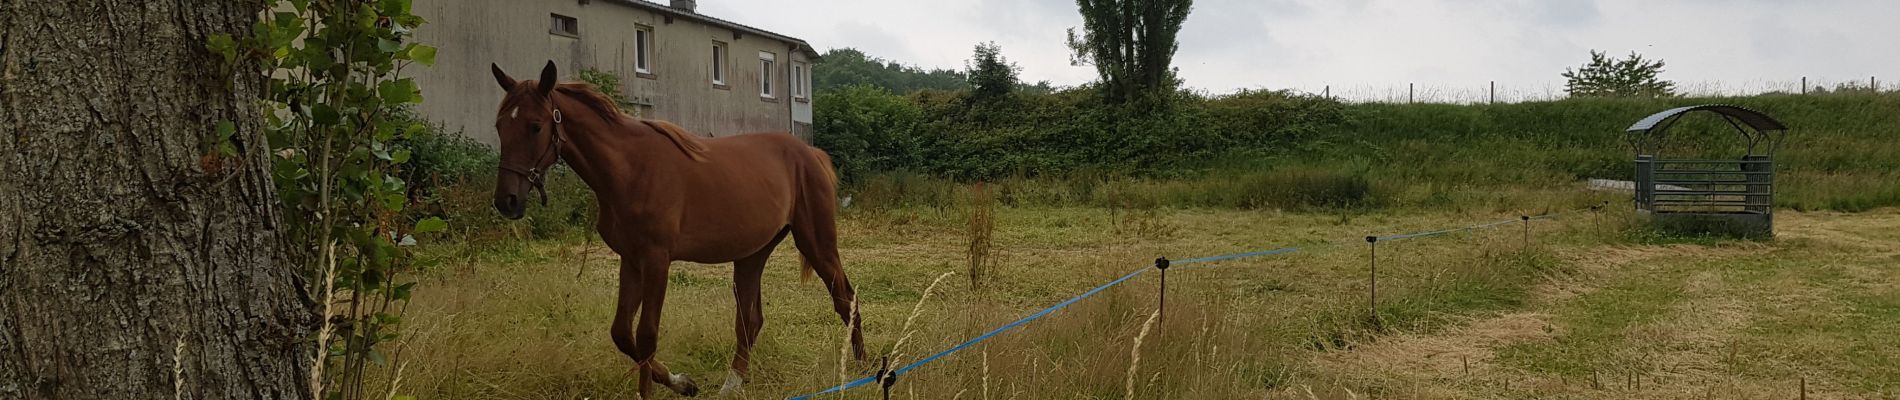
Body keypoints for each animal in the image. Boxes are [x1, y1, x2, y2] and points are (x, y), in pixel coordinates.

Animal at [486, 61, 866, 396]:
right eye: (500, 125)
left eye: (535, 126)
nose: (507, 200)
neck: (630, 169)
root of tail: (811, 153)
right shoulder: (631, 261)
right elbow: (622, 333)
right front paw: (683, 383)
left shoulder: (656, 261)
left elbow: (646, 335)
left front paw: (658, 390)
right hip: (752, 255)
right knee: (750, 320)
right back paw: (731, 385)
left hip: (816, 242)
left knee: (845, 298)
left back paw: (861, 369)